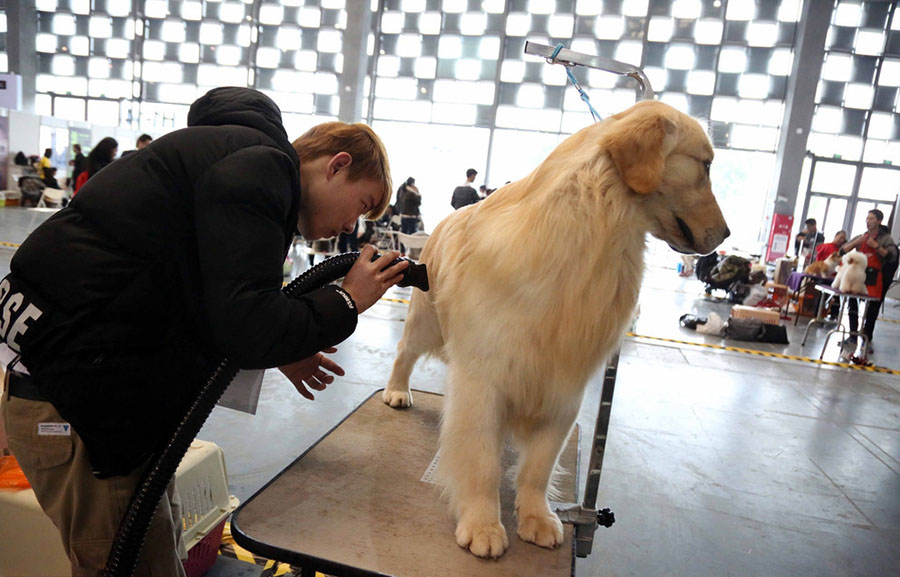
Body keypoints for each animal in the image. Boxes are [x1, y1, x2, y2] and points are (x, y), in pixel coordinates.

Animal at [384, 100, 728, 560]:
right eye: (705, 165)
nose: (726, 234)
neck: (589, 233)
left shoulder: (565, 387)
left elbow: (539, 466)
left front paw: (536, 517)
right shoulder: (483, 378)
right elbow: (481, 460)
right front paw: (482, 524)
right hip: (427, 322)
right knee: (404, 352)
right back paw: (397, 391)